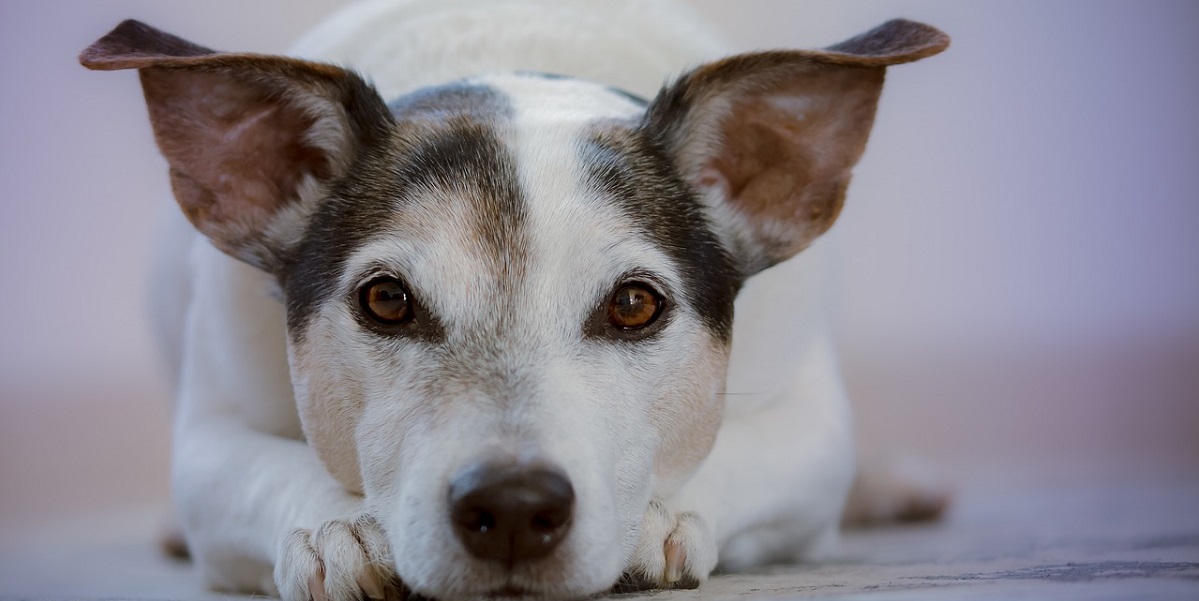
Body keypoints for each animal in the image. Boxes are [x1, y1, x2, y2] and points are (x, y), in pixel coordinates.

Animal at [79, 2, 949, 597]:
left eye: (634, 305)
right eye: (385, 299)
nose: (513, 506)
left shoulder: (811, 425)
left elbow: (743, 453)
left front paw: (660, 516)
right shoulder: (210, 433)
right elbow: (258, 466)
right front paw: (338, 526)